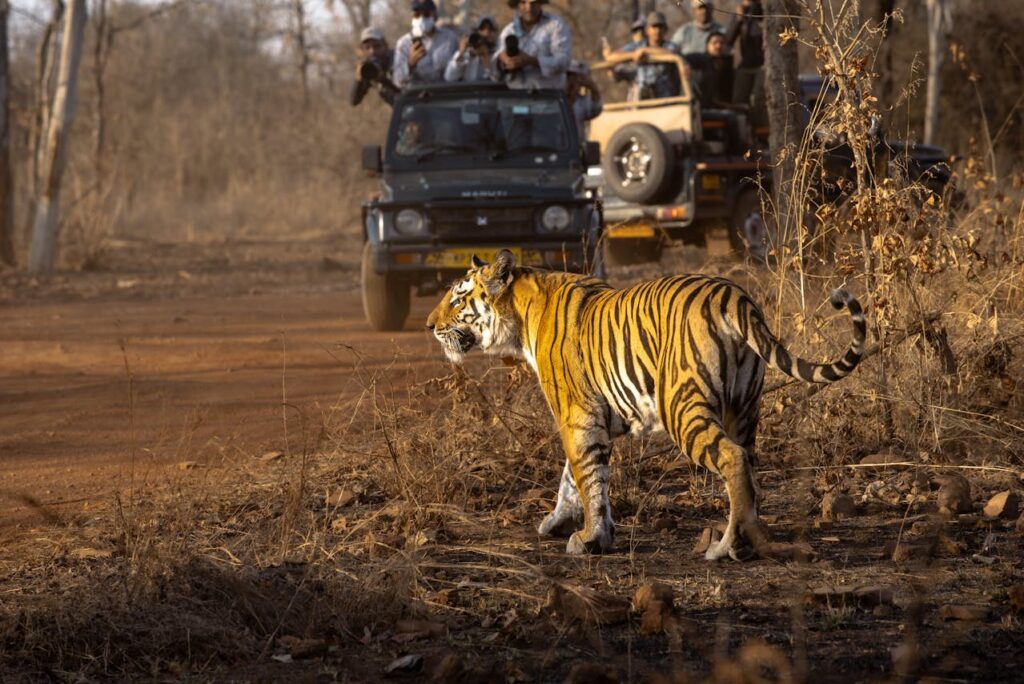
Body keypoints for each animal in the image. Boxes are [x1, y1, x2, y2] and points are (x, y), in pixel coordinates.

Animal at [426, 250, 866, 560]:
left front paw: (591, 537)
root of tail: (734, 295)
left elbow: (588, 477)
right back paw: (745, 537)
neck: (519, 316)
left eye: (458, 298)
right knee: (750, 467)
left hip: (681, 407)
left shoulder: (577, 416)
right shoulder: (594, 417)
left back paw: (728, 546)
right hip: (744, 409)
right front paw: (557, 522)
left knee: (733, 460)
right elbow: (572, 476)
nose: (430, 325)